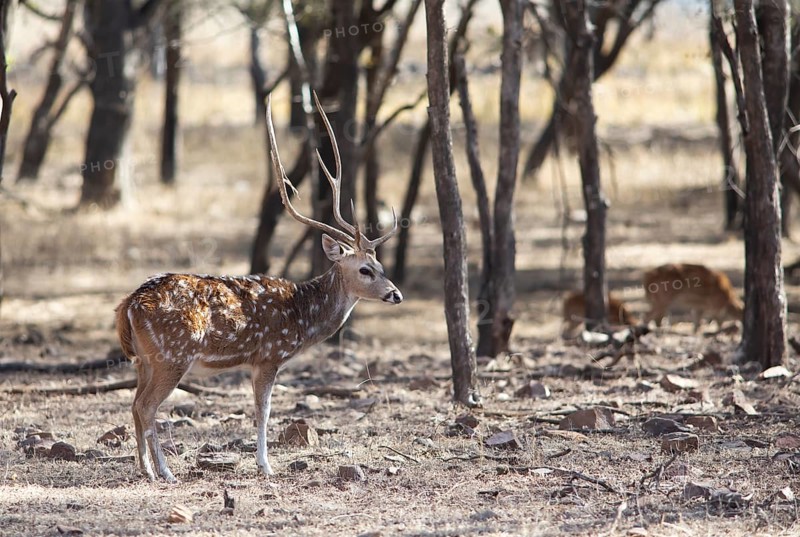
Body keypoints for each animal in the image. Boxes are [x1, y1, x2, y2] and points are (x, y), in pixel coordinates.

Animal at [115, 93, 402, 483]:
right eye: (365, 269)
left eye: (382, 266)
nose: (395, 294)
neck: (301, 316)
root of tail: (129, 304)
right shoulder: (269, 355)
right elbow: (263, 409)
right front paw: (265, 465)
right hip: (172, 355)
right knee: (146, 406)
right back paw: (164, 472)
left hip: (144, 360)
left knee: (134, 404)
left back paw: (147, 468)